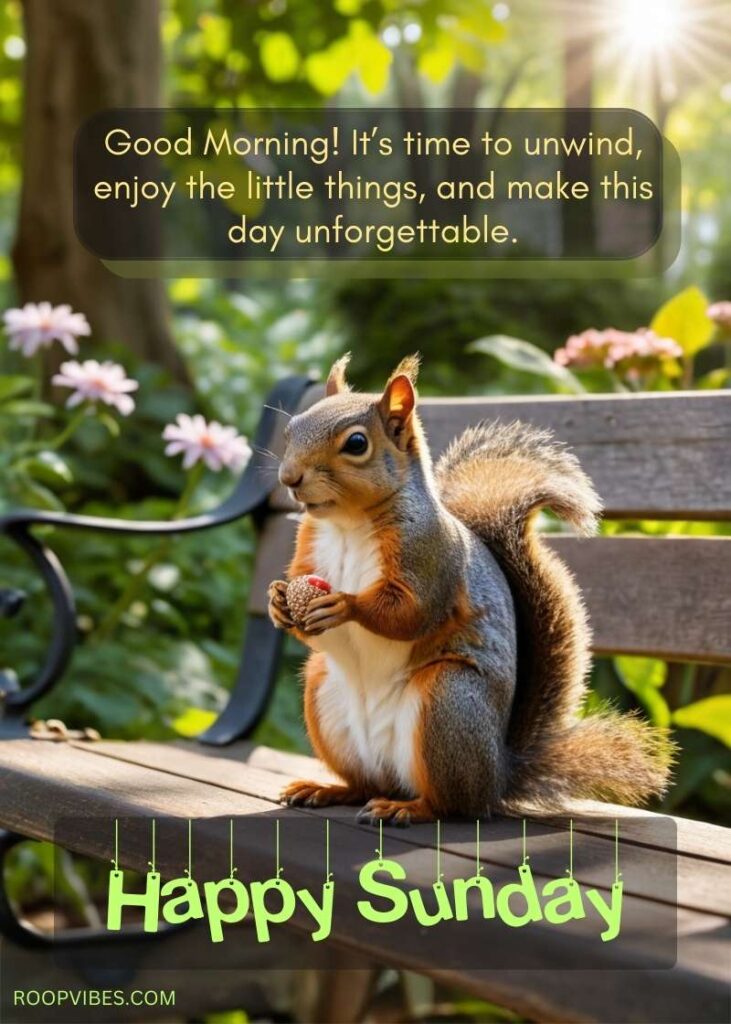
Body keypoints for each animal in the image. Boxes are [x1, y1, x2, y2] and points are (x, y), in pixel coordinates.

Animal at [268, 356, 671, 827]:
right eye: (292, 429)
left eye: (355, 443)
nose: (288, 477)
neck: (348, 522)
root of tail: (498, 775)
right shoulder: (308, 548)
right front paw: (278, 602)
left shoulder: (428, 553)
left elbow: (410, 612)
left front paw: (343, 605)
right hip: (323, 693)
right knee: (365, 784)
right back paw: (328, 789)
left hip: (449, 702)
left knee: (452, 804)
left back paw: (407, 808)